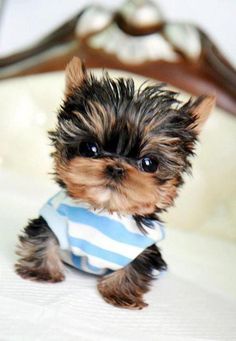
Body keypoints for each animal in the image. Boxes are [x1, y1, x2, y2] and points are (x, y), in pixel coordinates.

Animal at [15, 56, 216, 308]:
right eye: (89, 148)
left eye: (149, 163)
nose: (117, 168)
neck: (104, 209)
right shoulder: (53, 220)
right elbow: (44, 237)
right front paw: (42, 270)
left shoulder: (144, 248)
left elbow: (137, 265)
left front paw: (120, 292)